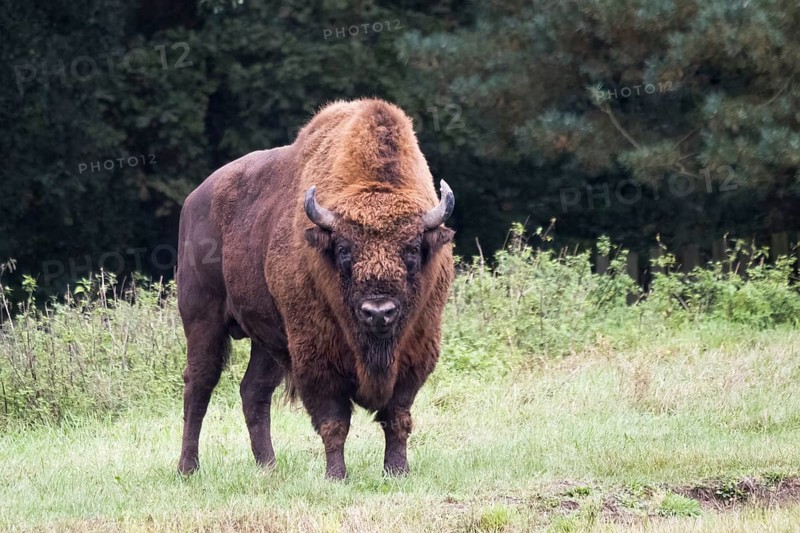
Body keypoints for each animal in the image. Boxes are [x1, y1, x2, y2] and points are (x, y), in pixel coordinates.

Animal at [176, 98, 455, 479]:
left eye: (412, 248)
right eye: (344, 249)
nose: (378, 312)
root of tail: (193, 200)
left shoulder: (415, 352)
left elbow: (397, 417)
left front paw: (397, 471)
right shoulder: (316, 354)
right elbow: (333, 421)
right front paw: (336, 475)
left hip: (269, 339)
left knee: (253, 391)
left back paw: (268, 467)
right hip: (203, 319)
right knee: (199, 385)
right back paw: (188, 468)